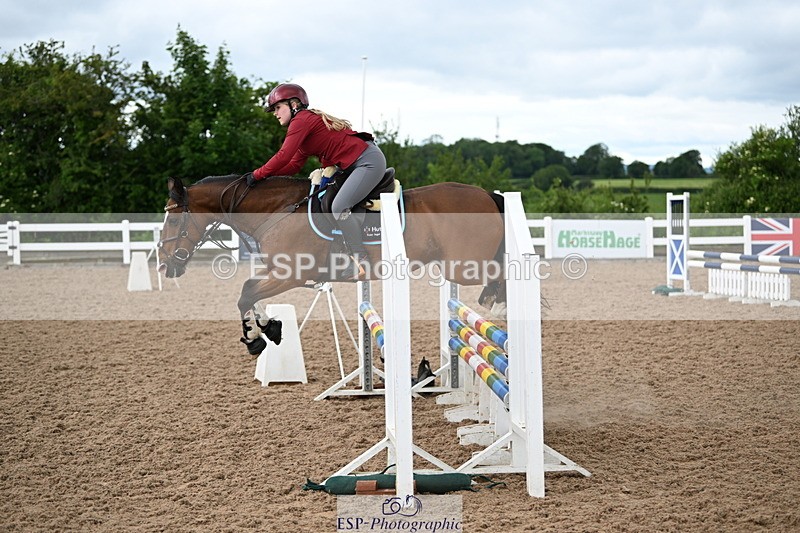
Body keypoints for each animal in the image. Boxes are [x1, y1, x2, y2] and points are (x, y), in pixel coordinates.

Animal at [157, 173, 507, 355]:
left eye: (172, 220)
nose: (164, 265)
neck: (279, 209)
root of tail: (487, 194)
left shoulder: (291, 274)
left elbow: (246, 293)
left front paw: (256, 339)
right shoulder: (278, 272)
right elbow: (249, 290)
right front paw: (268, 327)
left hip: (463, 265)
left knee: (500, 273)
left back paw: (500, 305)